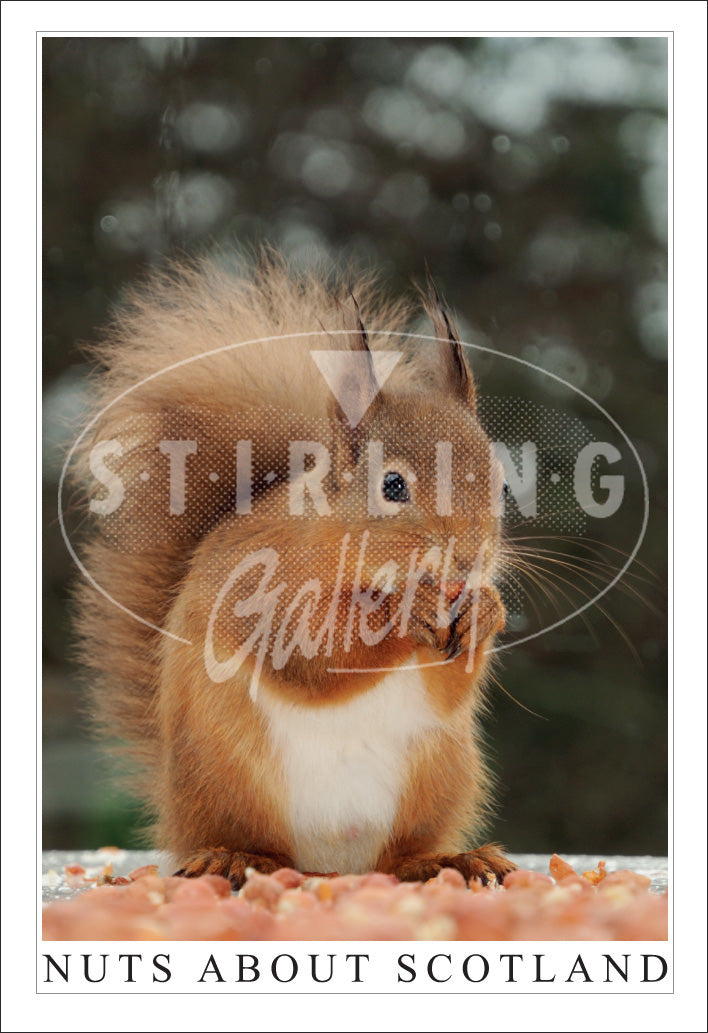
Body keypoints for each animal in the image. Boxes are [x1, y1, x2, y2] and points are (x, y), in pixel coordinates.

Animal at [73, 252, 517, 888]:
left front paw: (486, 611)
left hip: (438, 777)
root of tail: (330, 865)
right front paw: (406, 611)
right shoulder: (264, 586)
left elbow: (447, 692)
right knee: (249, 841)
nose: (466, 562)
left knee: (400, 855)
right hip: (230, 776)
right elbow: (312, 651)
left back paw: (447, 859)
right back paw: (236, 857)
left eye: (502, 484)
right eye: (393, 485)